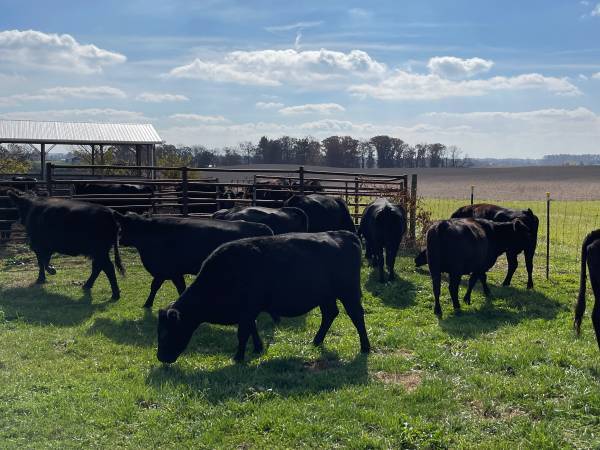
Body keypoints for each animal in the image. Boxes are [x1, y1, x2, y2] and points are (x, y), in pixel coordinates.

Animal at [115, 213, 274, 308]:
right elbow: (176, 287)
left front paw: (147, 304)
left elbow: (157, 286)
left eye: (124, 227)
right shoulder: (171, 272)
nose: (119, 239)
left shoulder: (167, 270)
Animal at [157, 230, 368, 364]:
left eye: (166, 333)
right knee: (330, 314)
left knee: (357, 316)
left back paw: (365, 347)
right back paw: (316, 341)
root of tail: (345, 234)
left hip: (349, 293)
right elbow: (252, 328)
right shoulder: (248, 311)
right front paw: (257, 348)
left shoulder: (247, 310)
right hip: (326, 296)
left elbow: (243, 333)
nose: (161, 357)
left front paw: (238, 357)